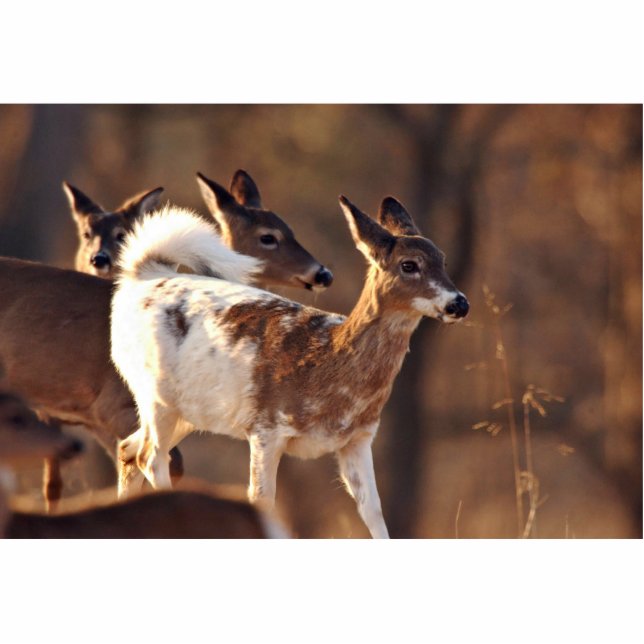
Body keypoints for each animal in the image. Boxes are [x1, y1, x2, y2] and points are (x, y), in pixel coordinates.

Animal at [110, 194, 469, 538]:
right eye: (409, 264)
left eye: (442, 259)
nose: (459, 303)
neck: (328, 363)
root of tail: (145, 276)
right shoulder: (266, 427)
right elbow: (261, 499)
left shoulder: (359, 438)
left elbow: (374, 512)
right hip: (154, 394)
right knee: (149, 457)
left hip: (191, 410)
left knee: (128, 448)